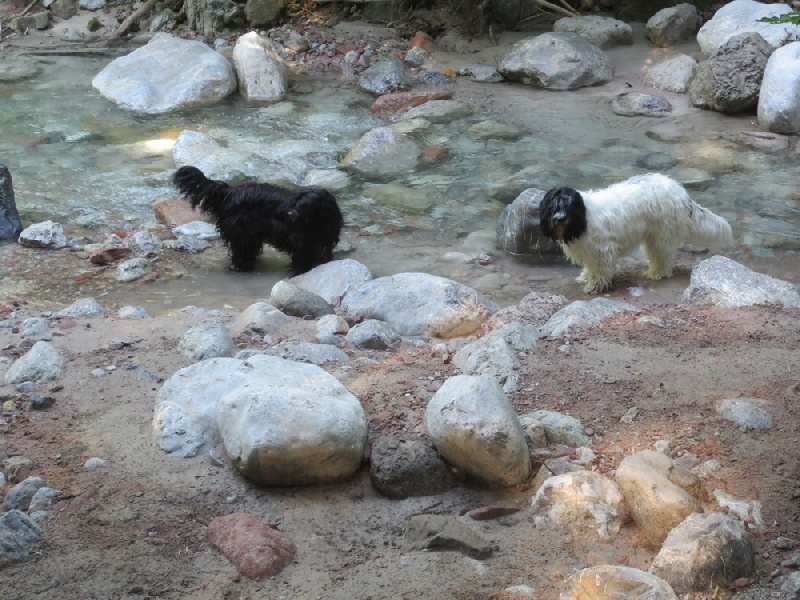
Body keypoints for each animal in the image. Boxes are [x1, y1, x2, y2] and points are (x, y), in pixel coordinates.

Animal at [173, 166, 343, 275]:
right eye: (296, 203)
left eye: (306, 206)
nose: (288, 213)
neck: (316, 223)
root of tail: (228, 192)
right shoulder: (300, 240)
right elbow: (302, 255)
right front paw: (301, 268)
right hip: (241, 232)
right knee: (241, 251)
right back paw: (240, 267)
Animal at [539, 173, 734, 294]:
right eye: (553, 207)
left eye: (568, 206)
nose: (559, 218)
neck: (583, 218)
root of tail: (681, 194)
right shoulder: (589, 250)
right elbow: (590, 266)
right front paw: (586, 277)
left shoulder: (603, 250)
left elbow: (601, 270)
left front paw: (594, 286)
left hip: (661, 235)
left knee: (663, 256)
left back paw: (656, 273)